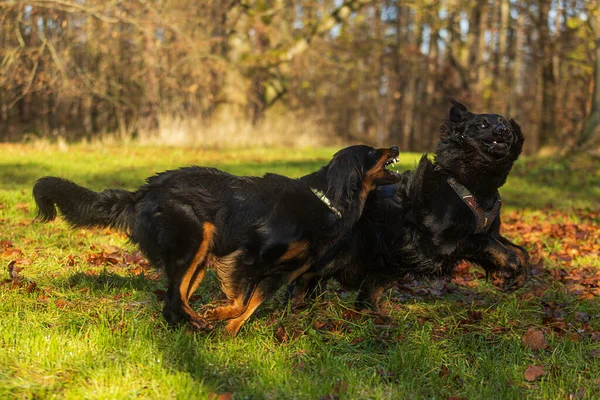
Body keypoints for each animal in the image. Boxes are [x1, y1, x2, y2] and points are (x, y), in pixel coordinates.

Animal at [31, 144, 398, 334]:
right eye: (370, 151)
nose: (395, 146)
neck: (326, 200)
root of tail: (142, 194)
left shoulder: (281, 275)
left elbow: (253, 304)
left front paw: (231, 329)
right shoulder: (250, 256)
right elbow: (241, 300)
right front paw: (219, 315)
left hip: (199, 253)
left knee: (174, 300)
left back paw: (188, 326)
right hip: (195, 238)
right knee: (173, 298)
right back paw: (196, 321)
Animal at [296, 100, 528, 310]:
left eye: (503, 122)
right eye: (482, 125)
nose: (505, 130)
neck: (474, 185)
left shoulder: (490, 232)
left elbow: (519, 249)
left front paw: (519, 276)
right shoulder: (442, 242)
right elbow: (485, 242)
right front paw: (511, 263)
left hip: (388, 264)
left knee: (366, 295)